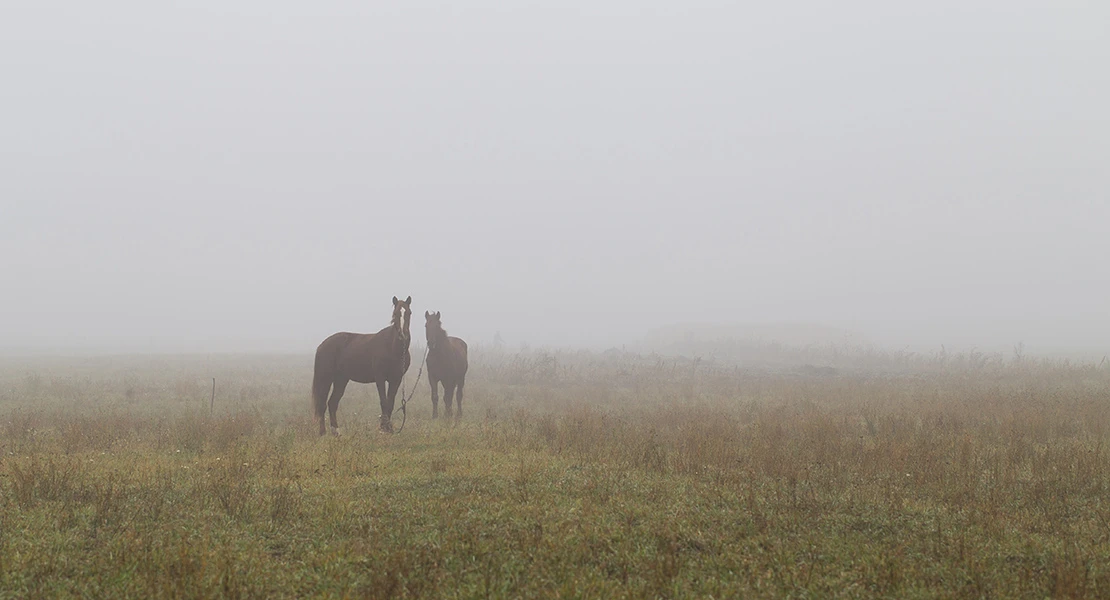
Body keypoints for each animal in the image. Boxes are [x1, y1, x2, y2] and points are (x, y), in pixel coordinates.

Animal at [313, 295, 412, 432]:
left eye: (409, 313)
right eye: (396, 313)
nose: (403, 335)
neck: (393, 348)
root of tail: (322, 345)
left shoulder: (396, 379)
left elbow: (390, 403)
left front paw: (388, 428)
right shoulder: (380, 377)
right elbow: (384, 402)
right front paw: (383, 428)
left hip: (341, 379)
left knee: (332, 403)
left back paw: (336, 432)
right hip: (325, 378)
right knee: (322, 404)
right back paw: (323, 432)